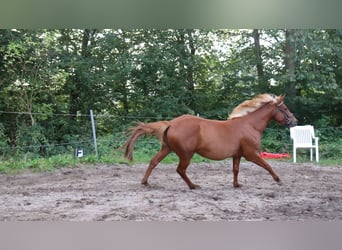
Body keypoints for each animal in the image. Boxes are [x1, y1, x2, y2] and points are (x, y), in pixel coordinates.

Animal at [124, 94, 298, 189]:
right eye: (285, 108)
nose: (295, 121)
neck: (249, 125)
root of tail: (171, 123)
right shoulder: (251, 154)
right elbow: (267, 165)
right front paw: (278, 180)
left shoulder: (237, 155)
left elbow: (236, 170)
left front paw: (236, 185)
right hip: (186, 154)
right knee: (180, 170)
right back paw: (193, 186)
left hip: (167, 148)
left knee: (154, 162)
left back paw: (145, 182)